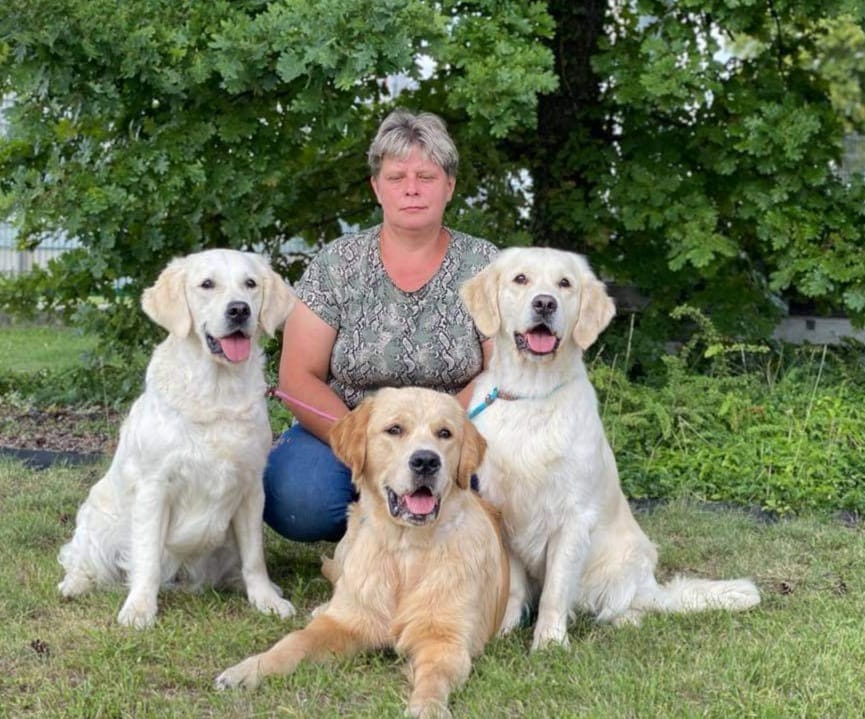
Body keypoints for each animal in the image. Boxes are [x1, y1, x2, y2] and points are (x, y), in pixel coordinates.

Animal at [57, 249, 297, 629]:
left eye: (250, 284)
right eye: (207, 284)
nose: (239, 309)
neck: (217, 391)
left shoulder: (250, 488)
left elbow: (255, 557)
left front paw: (266, 599)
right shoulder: (155, 486)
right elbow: (147, 558)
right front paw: (140, 608)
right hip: (98, 522)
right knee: (79, 556)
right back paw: (75, 584)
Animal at [216, 387, 508, 719]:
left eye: (445, 433)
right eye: (395, 429)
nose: (426, 461)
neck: (405, 550)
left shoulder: (446, 639)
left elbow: (434, 675)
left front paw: (427, 707)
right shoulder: (345, 624)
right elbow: (294, 641)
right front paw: (248, 669)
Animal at [460, 246, 760, 651]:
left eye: (565, 283)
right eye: (520, 279)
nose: (545, 303)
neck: (532, 393)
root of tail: (651, 584)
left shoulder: (573, 518)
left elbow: (556, 591)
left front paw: (549, 644)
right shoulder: (502, 511)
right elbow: (513, 587)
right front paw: (504, 633)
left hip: (621, 566)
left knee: (625, 605)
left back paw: (626, 621)